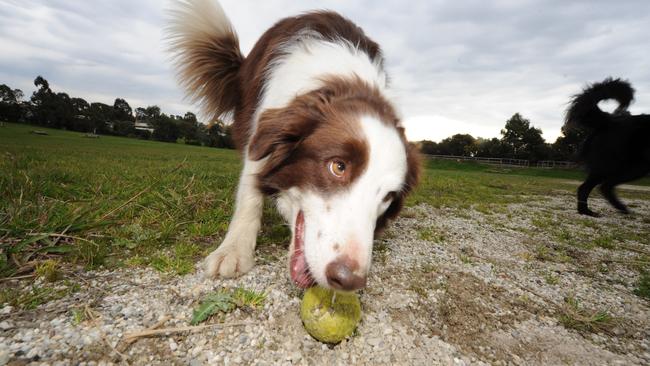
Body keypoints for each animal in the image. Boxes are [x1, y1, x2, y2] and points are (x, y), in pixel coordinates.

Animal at [167, 0, 418, 292]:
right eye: (338, 167)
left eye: (389, 196)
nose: (348, 280)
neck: (344, 80)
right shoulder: (260, 131)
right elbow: (250, 193)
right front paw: (233, 250)